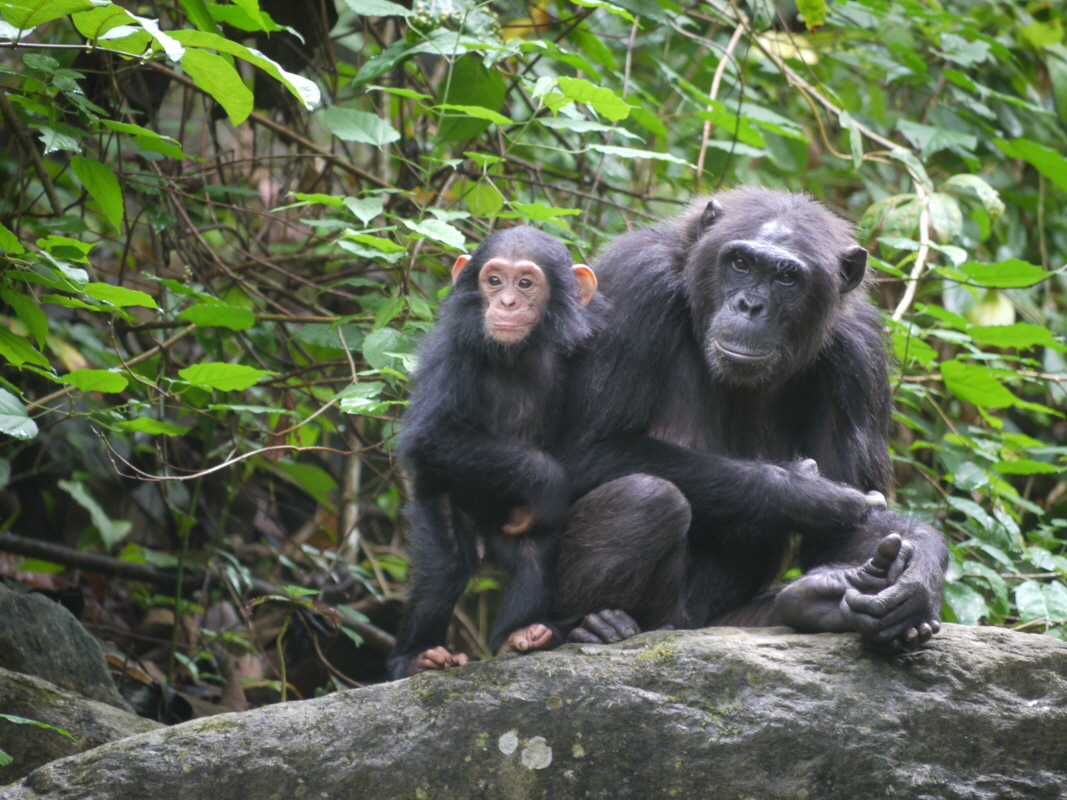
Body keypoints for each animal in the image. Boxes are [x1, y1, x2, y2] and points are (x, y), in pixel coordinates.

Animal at [386, 226, 606, 682]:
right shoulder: (451, 352)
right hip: (446, 510)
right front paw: (547, 481)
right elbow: (433, 436)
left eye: (524, 283)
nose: (505, 302)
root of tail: (488, 540)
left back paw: (521, 635)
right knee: (445, 568)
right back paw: (416, 657)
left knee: (535, 557)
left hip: (513, 535)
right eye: (493, 280)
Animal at [554, 187, 947, 652]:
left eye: (787, 278)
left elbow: (846, 531)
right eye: (741, 263)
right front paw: (810, 493)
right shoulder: (636, 282)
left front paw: (917, 572)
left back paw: (823, 598)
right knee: (647, 498)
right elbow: (585, 451)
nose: (750, 305)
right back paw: (589, 626)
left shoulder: (859, 353)